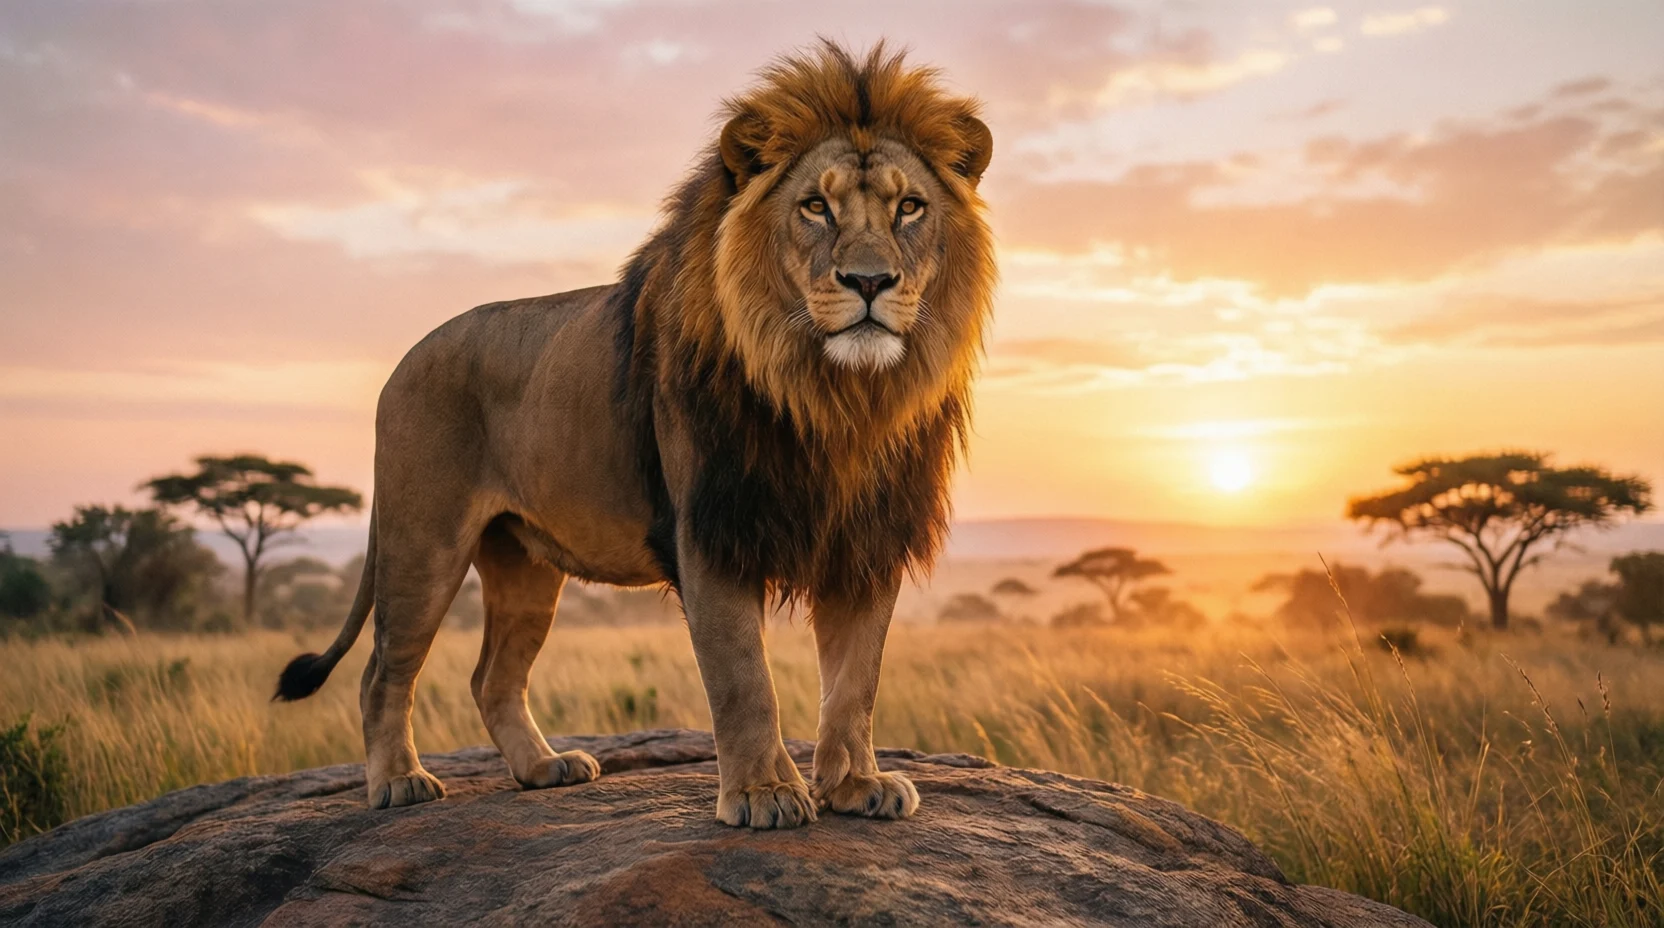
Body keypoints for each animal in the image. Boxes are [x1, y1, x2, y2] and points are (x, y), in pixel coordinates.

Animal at [275, 41, 995, 830]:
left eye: (909, 207)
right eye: (815, 206)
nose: (869, 281)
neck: (836, 399)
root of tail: (404, 361)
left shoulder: (866, 540)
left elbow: (855, 682)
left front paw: (856, 784)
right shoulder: (711, 531)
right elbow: (744, 679)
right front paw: (763, 794)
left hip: (524, 566)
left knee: (491, 676)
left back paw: (544, 768)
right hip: (422, 543)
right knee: (382, 672)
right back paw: (399, 781)